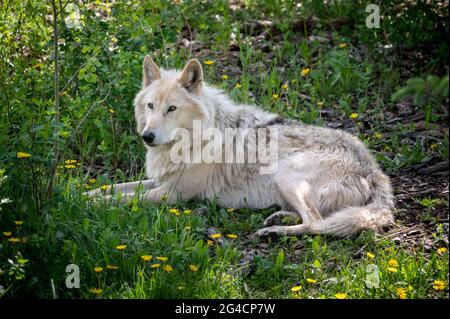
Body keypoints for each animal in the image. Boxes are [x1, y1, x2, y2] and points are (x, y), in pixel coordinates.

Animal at [87, 56, 394, 239]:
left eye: (171, 108)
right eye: (151, 106)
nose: (147, 136)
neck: (195, 139)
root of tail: (375, 172)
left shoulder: (174, 194)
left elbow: (122, 199)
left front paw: (90, 204)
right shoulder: (159, 180)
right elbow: (113, 187)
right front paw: (82, 192)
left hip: (287, 173)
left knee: (317, 222)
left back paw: (274, 231)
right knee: (317, 216)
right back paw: (277, 217)